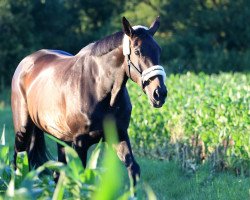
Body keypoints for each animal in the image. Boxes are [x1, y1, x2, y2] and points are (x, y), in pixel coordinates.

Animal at [11, 16, 168, 186]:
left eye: (159, 50)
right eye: (138, 51)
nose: (159, 93)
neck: (99, 91)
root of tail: (26, 62)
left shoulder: (119, 135)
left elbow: (133, 168)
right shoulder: (80, 143)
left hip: (61, 139)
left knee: (57, 174)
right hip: (23, 132)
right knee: (16, 161)